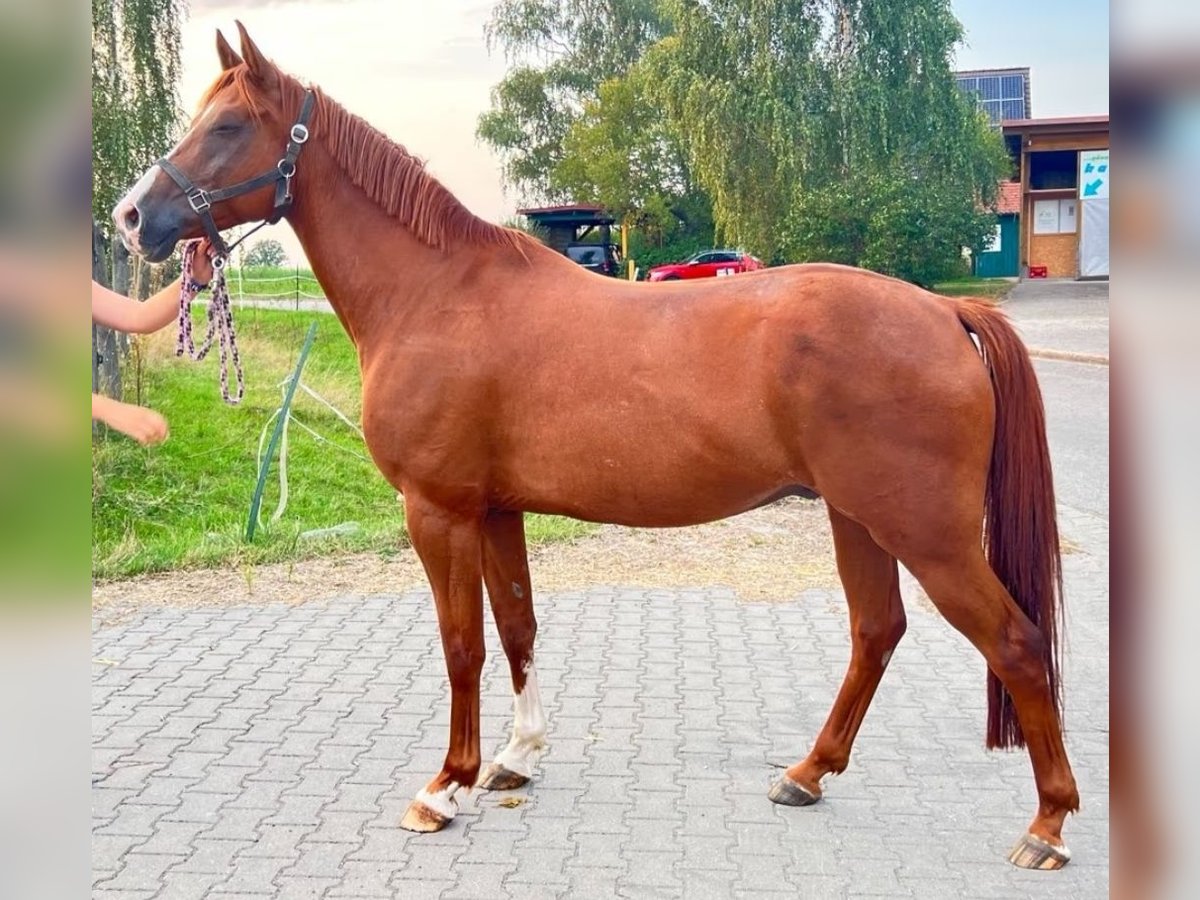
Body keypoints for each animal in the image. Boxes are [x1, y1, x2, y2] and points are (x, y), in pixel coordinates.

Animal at [114, 24, 1080, 868]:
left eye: (228, 125)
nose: (131, 217)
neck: (435, 294)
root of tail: (946, 312)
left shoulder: (438, 512)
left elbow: (460, 644)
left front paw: (446, 787)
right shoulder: (495, 510)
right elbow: (516, 628)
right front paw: (516, 759)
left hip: (927, 531)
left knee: (1016, 643)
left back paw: (1047, 826)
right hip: (858, 519)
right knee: (877, 631)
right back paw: (806, 774)